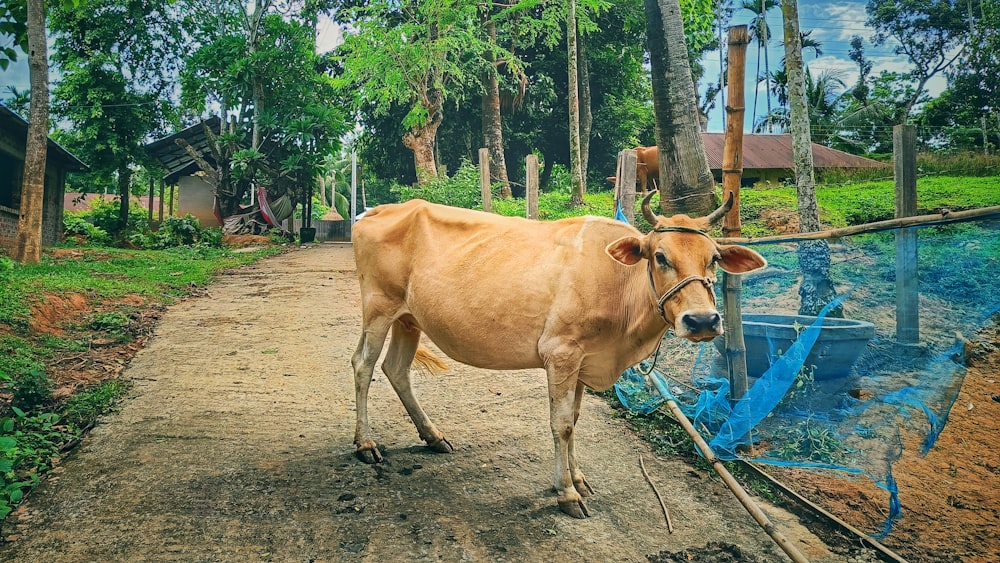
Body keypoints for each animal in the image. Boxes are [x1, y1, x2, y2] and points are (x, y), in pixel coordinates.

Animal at [348, 193, 760, 520]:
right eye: (660, 256)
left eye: (714, 259)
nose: (702, 320)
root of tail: (376, 210)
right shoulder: (561, 352)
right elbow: (561, 424)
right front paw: (566, 492)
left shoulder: (584, 360)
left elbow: (574, 420)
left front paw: (577, 477)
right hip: (379, 307)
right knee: (363, 365)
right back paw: (366, 444)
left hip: (409, 318)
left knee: (396, 369)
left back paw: (433, 436)